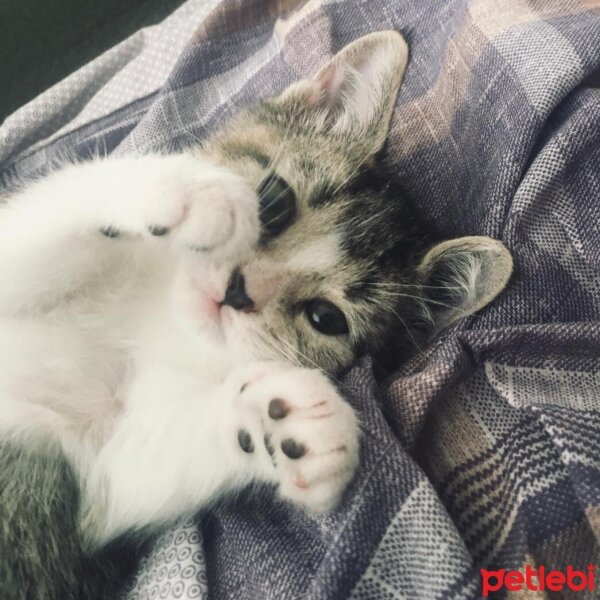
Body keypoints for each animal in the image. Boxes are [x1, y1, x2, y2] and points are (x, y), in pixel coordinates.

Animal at [0, 30, 510, 596]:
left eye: (325, 318)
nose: (239, 290)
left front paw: (290, 418)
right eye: (276, 202)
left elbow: (135, 470)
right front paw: (183, 190)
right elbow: (38, 233)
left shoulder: (90, 489)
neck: (159, 317)